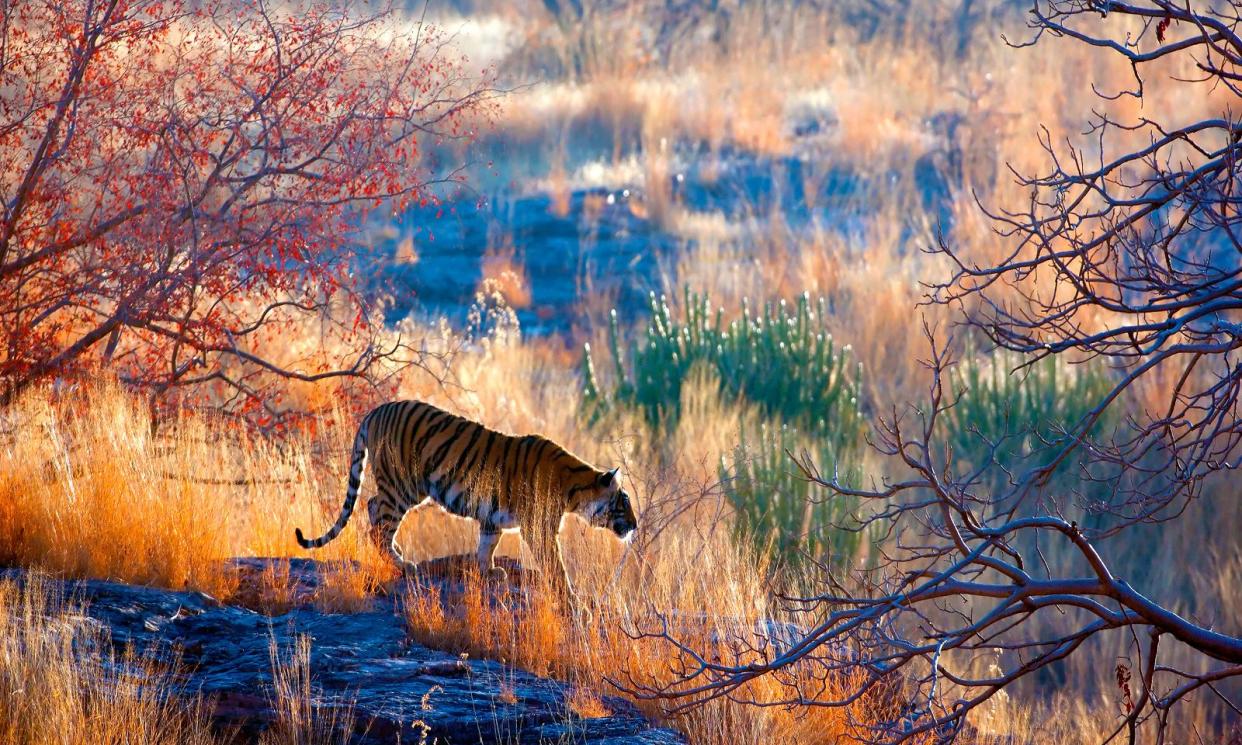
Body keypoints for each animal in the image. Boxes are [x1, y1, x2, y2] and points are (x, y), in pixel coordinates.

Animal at [294, 399, 635, 603]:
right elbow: (556, 565)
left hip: (402, 487)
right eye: (624, 502)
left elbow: (487, 547)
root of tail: (376, 410)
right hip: (402, 485)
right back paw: (402, 563)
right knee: (378, 522)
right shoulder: (539, 529)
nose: (634, 525)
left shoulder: (492, 519)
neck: (575, 490)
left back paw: (397, 552)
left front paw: (489, 572)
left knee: (372, 507)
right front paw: (573, 599)